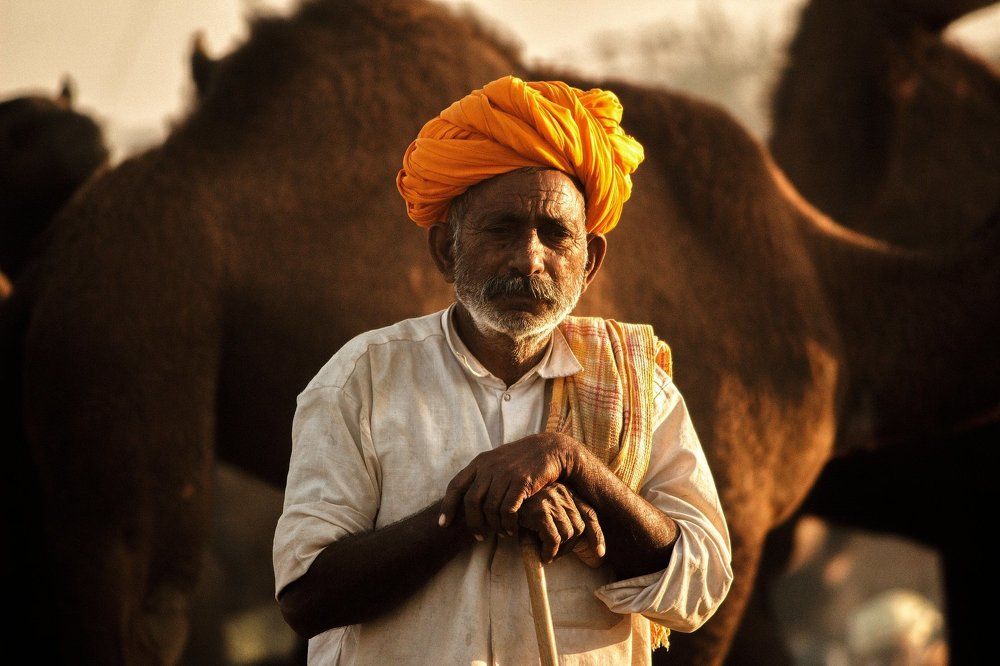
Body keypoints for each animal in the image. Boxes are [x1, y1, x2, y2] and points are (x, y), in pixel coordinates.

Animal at [2, 1, 995, 663]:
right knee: (149, 601)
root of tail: (57, 249)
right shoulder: (751, 525)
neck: (842, 302)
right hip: (132, 304)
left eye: (552, 229)